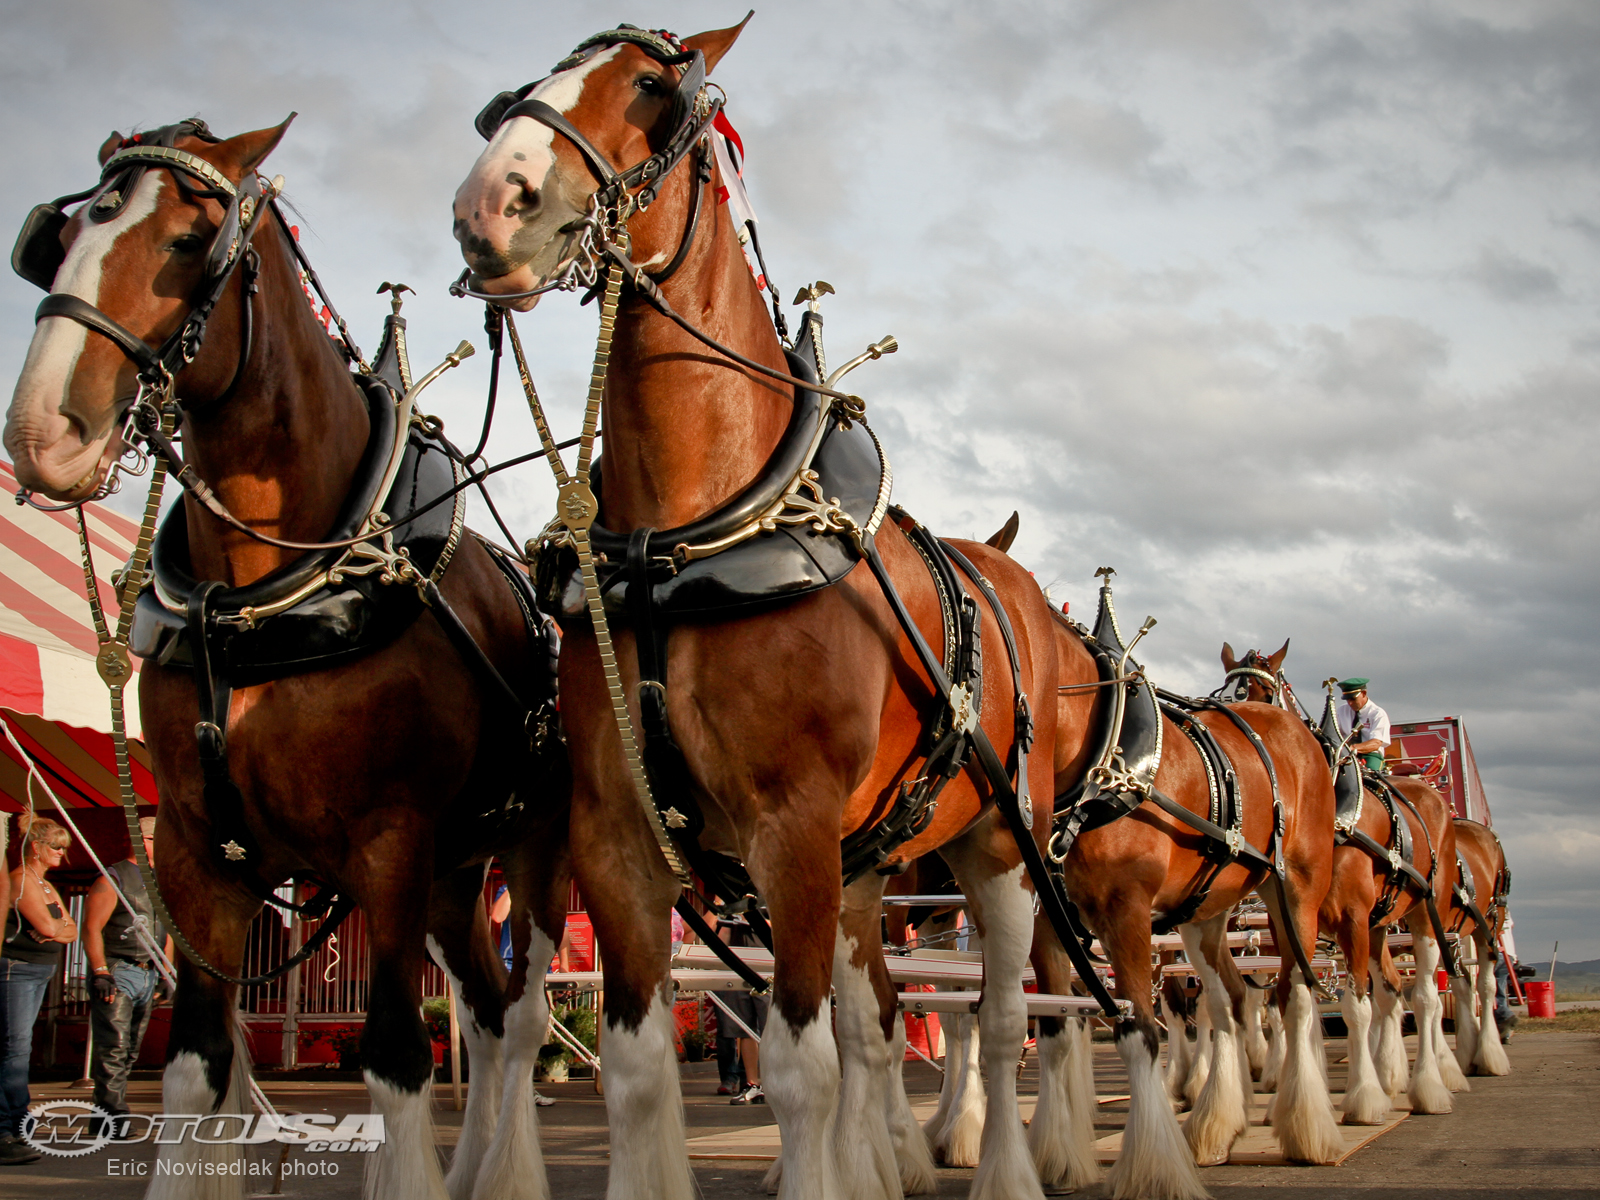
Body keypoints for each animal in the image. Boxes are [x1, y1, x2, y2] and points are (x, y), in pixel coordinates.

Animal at [4, 120, 569, 1200]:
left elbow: (397, 1059)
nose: (45, 431)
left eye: (190, 243)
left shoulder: (388, 846)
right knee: (481, 1012)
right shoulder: (196, 855)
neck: (263, 601)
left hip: (532, 855)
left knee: (519, 1025)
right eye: (56, 244)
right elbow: (198, 1066)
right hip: (454, 873)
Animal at [464, 21, 1081, 1200]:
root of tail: (1009, 581)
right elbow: (639, 1071)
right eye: (514, 91)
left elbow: (803, 1072)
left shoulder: (789, 829)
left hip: (996, 852)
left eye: (649, 87)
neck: (686, 542)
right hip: (864, 865)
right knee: (880, 1017)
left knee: (1003, 1022)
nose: (493, 201)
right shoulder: (616, 837)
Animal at [1222, 649, 1465, 1126]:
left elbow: (1354, 1006)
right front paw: (1292, 1098)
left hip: (1423, 918)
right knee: (1391, 991)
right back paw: (1390, 1074)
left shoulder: (1352, 917)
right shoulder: (1288, 925)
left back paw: (1433, 1081)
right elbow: (1290, 1000)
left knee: (1426, 995)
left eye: (1261, 692)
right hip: (1378, 926)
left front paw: (1363, 1097)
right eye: (1225, 690)